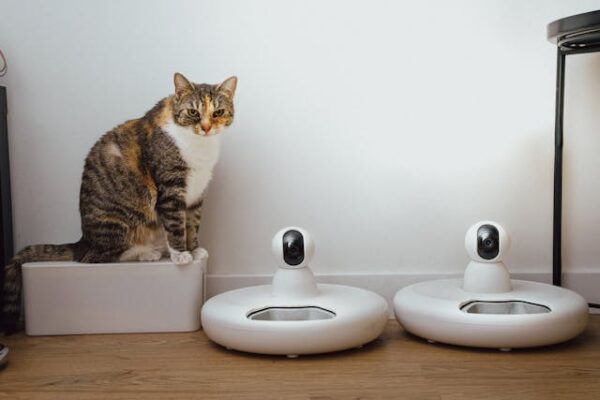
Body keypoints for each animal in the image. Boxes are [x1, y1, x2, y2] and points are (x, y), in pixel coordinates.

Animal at [1, 72, 236, 332]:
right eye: (193, 112)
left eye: (218, 112)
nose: (206, 127)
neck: (199, 148)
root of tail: (83, 240)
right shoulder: (170, 189)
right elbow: (176, 223)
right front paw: (181, 254)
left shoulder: (197, 193)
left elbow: (192, 222)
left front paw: (194, 249)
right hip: (120, 221)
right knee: (97, 257)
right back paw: (147, 253)